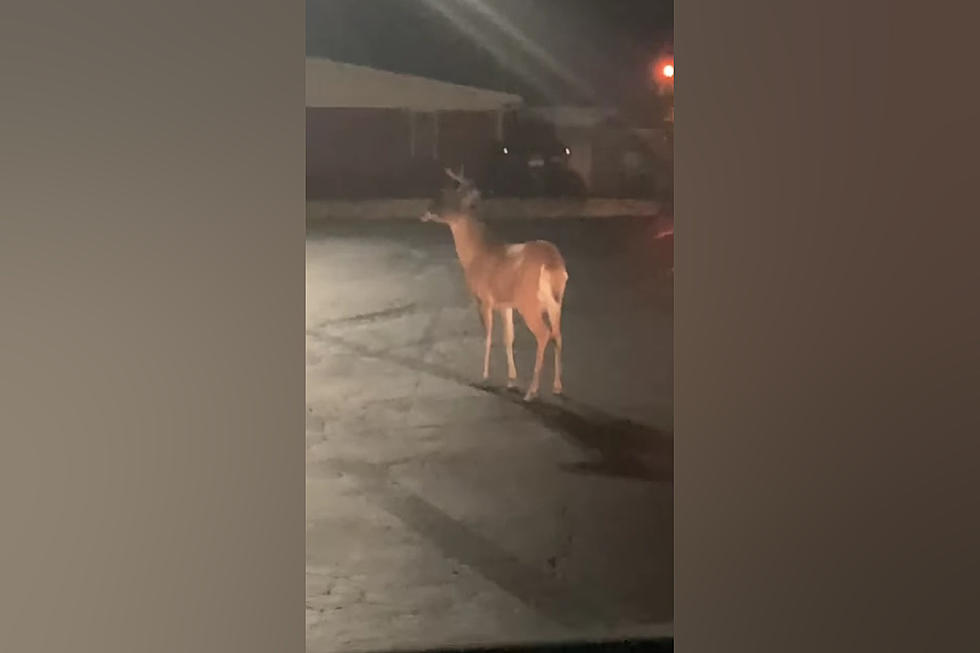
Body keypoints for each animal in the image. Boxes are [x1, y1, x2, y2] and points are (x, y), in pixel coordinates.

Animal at [420, 166, 568, 400]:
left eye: (449, 195)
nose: (426, 210)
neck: (476, 254)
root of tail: (552, 264)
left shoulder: (483, 299)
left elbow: (488, 337)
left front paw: (484, 377)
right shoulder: (505, 305)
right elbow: (509, 338)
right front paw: (511, 380)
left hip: (529, 303)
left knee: (544, 335)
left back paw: (532, 391)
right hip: (556, 301)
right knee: (558, 335)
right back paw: (556, 386)